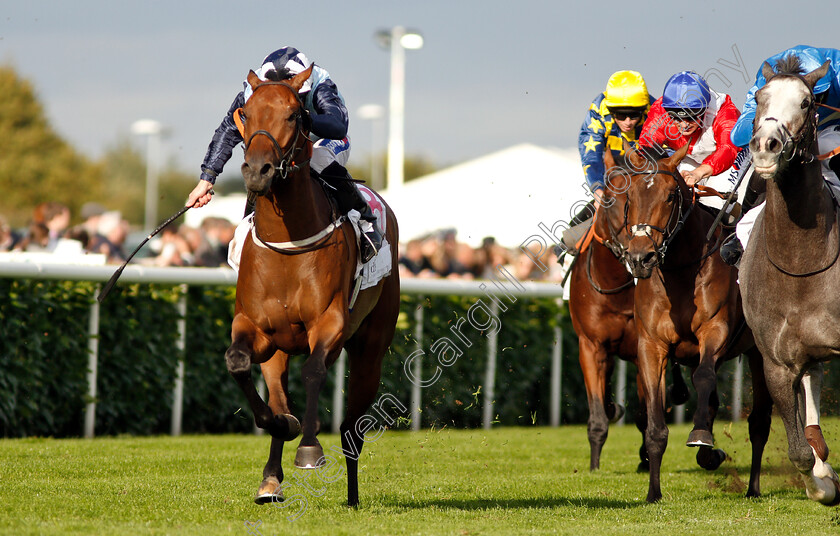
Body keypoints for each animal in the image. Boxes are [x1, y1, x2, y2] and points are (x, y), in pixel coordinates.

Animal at [225, 66, 402, 506]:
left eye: (294, 115)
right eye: (246, 114)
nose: (257, 170)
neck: (287, 247)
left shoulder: (329, 323)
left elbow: (314, 371)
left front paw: (308, 447)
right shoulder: (254, 327)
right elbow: (239, 365)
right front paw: (284, 428)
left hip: (371, 348)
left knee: (352, 425)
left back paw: (352, 495)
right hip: (279, 349)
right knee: (278, 393)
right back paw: (271, 478)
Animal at [604, 142, 776, 502]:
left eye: (670, 195)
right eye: (630, 196)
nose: (640, 258)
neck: (679, 272)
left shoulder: (715, 332)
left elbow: (704, 377)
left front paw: (700, 436)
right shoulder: (651, 345)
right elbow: (655, 423)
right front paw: (653, 492)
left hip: (760, 351)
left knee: (759, 421)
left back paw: (752, 487)